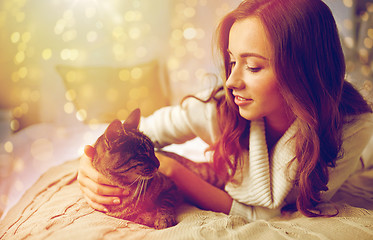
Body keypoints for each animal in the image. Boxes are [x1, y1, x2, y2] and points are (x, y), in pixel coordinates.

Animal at [91, 108, 222, 229]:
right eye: (143, 154)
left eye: (154, 150)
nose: (159, 164)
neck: (130, 187)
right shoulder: (122, 215)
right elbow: (139, 217)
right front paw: (149, 217)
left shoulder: (170, 187)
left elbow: (165, 204)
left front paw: (163, 219)